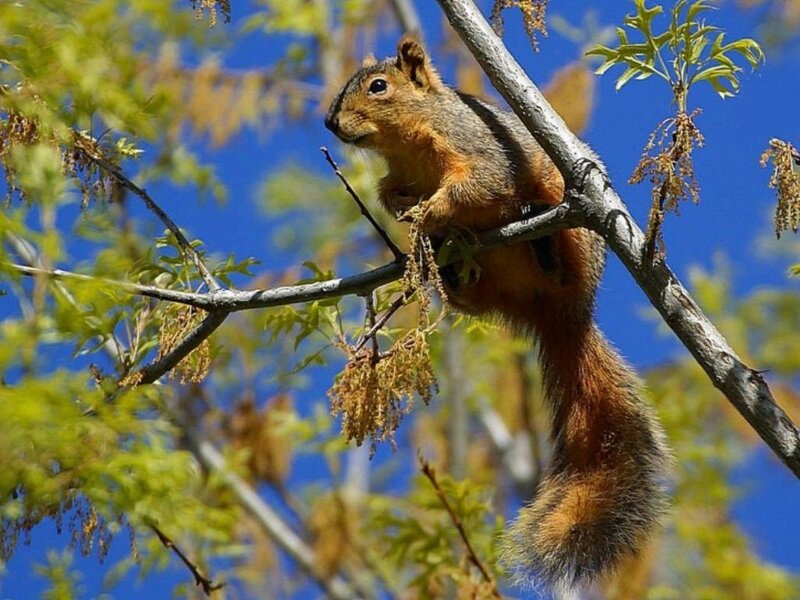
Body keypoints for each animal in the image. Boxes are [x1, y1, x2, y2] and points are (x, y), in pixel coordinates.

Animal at [325, 36, 670, 591]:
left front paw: (430, 212)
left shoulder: (480, 148)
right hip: (487, 294)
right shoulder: (398, 174)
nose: (331, 123)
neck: (408, 143)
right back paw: (455, 271)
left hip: (572, 221)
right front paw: (409, 214)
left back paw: (542, 238)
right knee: (474, 293)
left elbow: (479, 185)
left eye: (379, 86)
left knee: (556, 243)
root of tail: (564, 315)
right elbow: (390, 194)